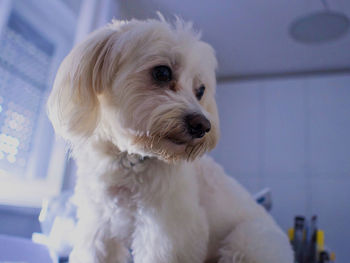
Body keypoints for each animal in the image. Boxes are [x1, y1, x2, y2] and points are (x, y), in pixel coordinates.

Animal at [47, 17, 294, 262]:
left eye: (200, 90)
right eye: (163, 73)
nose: (203, 126)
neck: (130, 161)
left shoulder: (166, 233)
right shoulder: (99, 229)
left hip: (246, 242)